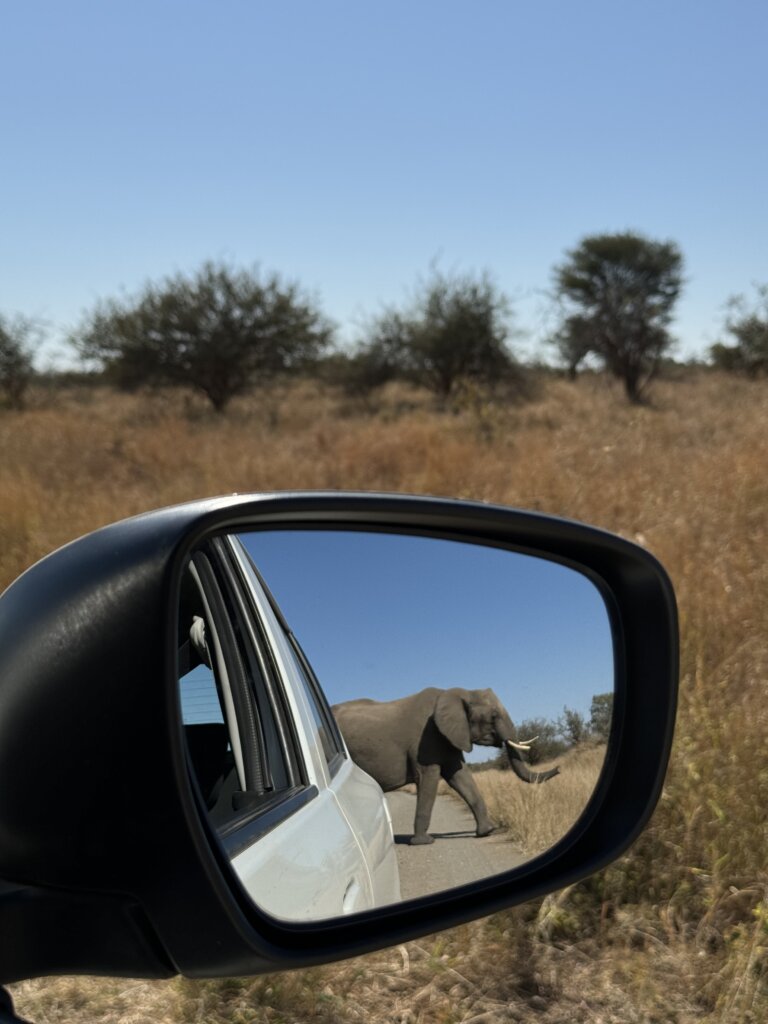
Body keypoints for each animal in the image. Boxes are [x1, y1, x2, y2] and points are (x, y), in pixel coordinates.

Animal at [331, 688, 561, 847]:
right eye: (494, 716)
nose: (559, 768)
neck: (460, 693)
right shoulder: (426, 740)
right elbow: (429, 777)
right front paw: (423, 842)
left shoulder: (450, 735)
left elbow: (460, 777)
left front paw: (487, 831)